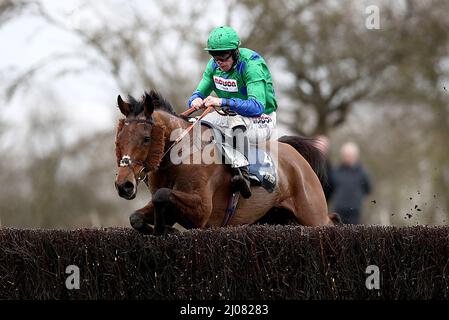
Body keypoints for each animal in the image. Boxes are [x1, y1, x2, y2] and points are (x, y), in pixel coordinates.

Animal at [114, 90, 338, 235]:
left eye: (146, 138)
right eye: (119, 138)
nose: (123, 185)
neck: (181, 156)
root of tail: (296, 155)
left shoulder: (202, 212)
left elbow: (162, 195)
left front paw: (163, 229)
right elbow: (136, 217)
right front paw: (165, 228)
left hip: (312, 215)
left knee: (330, 221)